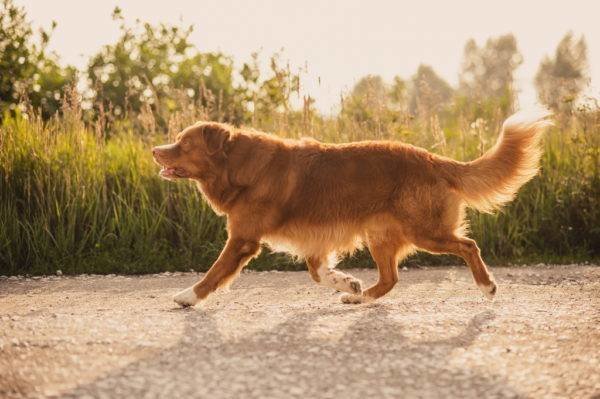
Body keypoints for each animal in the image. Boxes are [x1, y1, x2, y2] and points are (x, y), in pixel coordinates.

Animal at [152, 111, 552, 308]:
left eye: (183, 144)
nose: (156, 150)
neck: (237, 165)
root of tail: (434, 159)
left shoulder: (243, 239)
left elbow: (214, 273)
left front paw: (188, 297)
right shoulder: (314, 239)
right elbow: (319, 272)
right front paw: (348, 282)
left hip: (425, 231)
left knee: (468, 246)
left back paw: (487, 286)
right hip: (380, 234)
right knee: (390, 279)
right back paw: (360, 297)